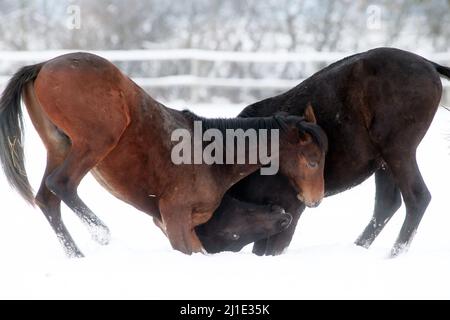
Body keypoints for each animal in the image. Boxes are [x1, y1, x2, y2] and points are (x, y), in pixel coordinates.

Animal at [0, 52, 326, 258]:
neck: (213, 157)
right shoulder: (175, 216)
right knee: (62, 184)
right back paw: (102, 234)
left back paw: (78, 255)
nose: (315, 200)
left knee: (47, 199)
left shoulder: (179, 224)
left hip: (59, 147)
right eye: (312, 161)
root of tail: (43, 65)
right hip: (95, 141)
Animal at [205, 47, 450, 256]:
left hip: (398, 152)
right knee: (386, 205)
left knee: (417, 198)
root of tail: (429, 65)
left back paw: (393, 255)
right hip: (385, 162)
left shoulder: (291, 209)